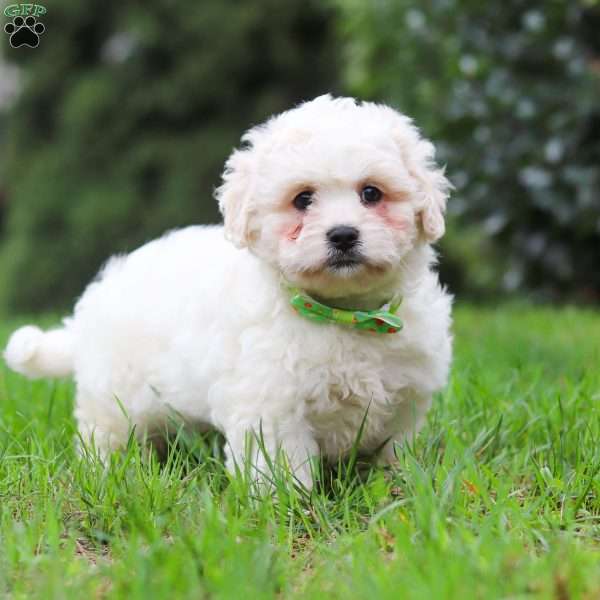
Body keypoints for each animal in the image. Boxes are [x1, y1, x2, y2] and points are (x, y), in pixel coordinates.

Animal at [3, 95, 450, 488]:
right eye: (302, 199)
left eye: (371, 193)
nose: (342, 234)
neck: (343, 313)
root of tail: (95, 299)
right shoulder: (271, 406)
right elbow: (280, 467)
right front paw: (289, 508)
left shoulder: (406, 402)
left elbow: (394, 450)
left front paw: (398, 485)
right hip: (113, 395)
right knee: (105, 433)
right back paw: (108, 471)